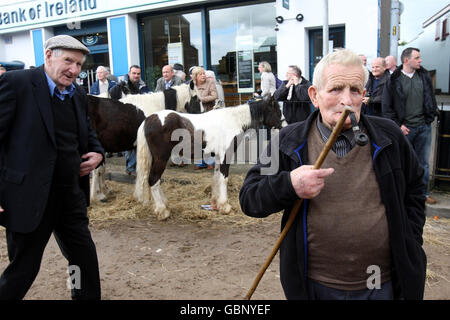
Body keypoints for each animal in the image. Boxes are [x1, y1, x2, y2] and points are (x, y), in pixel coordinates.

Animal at [134, 96, 282, 219]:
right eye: (277, 111)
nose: (281, 126)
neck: (233, 121)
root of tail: (148, 120)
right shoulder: (225, 156)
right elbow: (223, 179)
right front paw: (225, 207)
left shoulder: (218, 157)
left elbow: (216, 178)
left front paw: (216, 204)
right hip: (161, 158)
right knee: (153, 179)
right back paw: (162, 211)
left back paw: (164, 205)